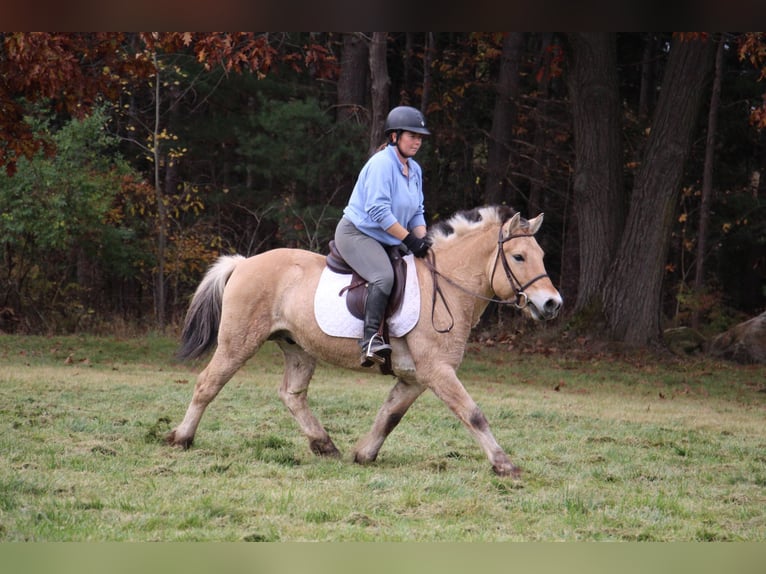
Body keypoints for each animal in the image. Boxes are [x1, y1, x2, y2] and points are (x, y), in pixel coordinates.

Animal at [170, 206, 564, 476]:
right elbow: (473, 414)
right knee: (208, 384)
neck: (448, 286)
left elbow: (390, 415)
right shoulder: (438, 372)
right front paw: (504, 464)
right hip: (238, 343)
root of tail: (244, 262)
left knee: (292, 394)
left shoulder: (416, 378)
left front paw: (363, 454)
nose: (552, 304)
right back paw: (181, 438)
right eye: (518, 257)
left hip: (298, 348)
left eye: (542, 257)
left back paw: (324, 445)